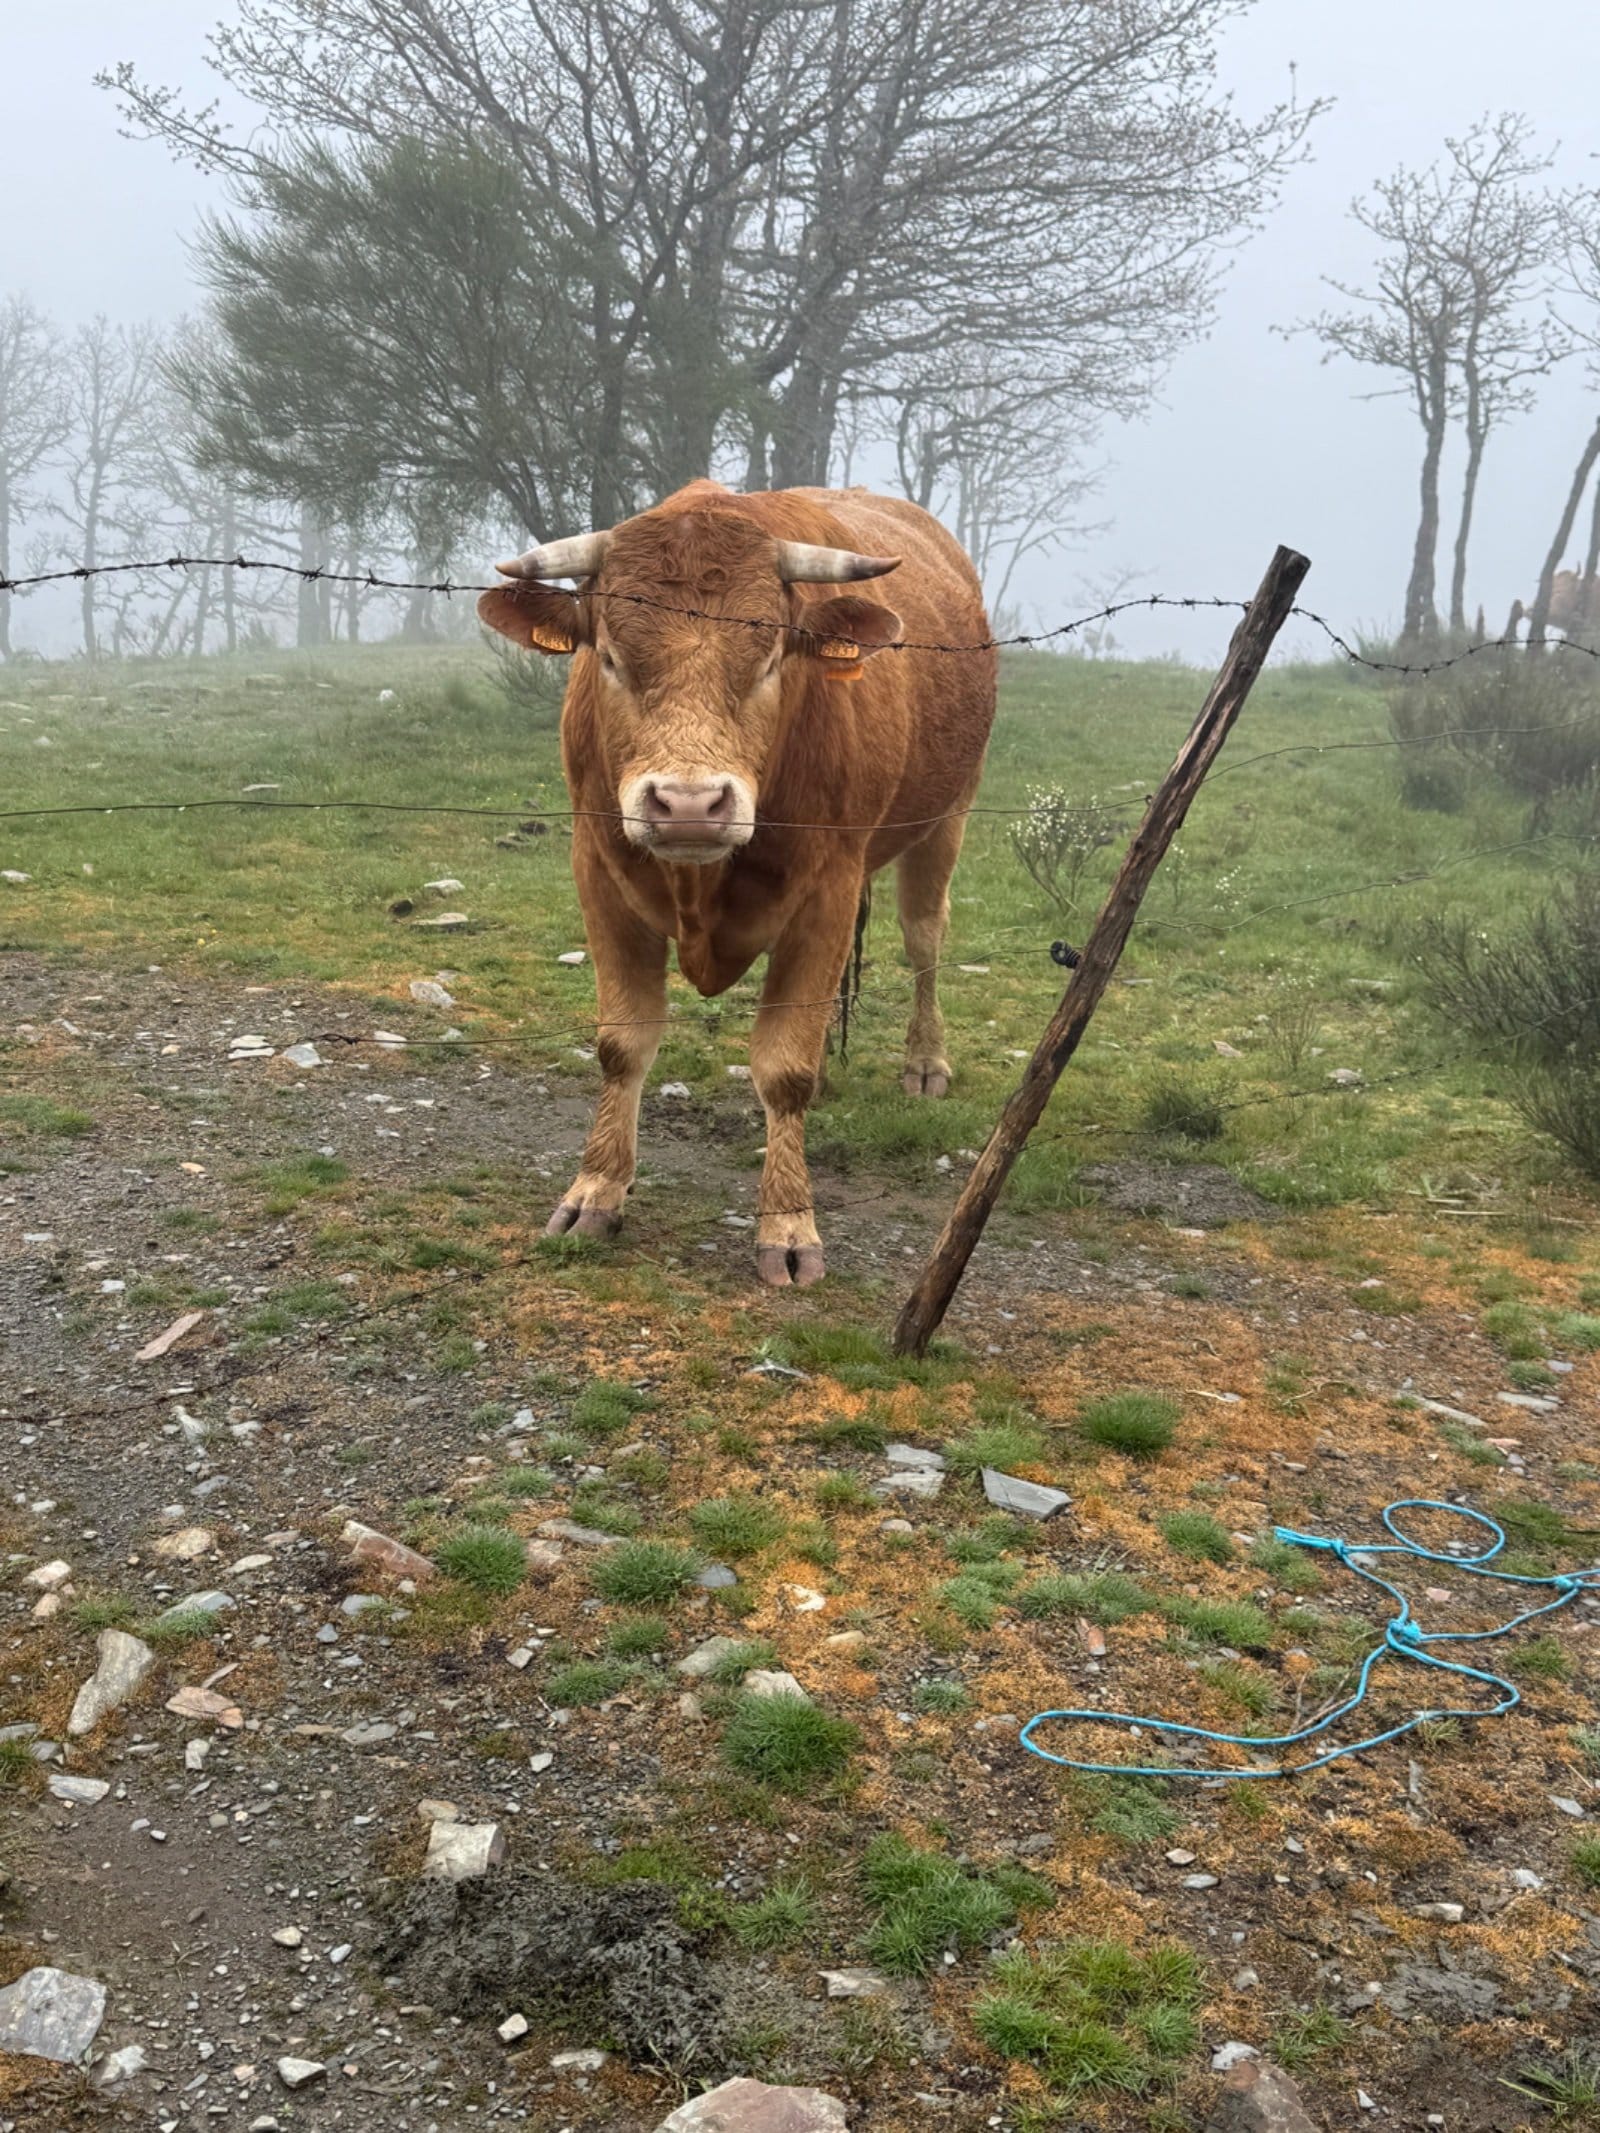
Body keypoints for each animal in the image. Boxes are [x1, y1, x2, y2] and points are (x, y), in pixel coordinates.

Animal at [477, 479, 998, 1286]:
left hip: (948, 815)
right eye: (612, 658)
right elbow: (622, 1045)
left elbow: (785, 1067)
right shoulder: (597, 871)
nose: (689, 804)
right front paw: (595, 1189)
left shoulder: (828, 893)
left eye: (772, 658)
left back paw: (924, 1062)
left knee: (923, 941)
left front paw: (787, 1224)